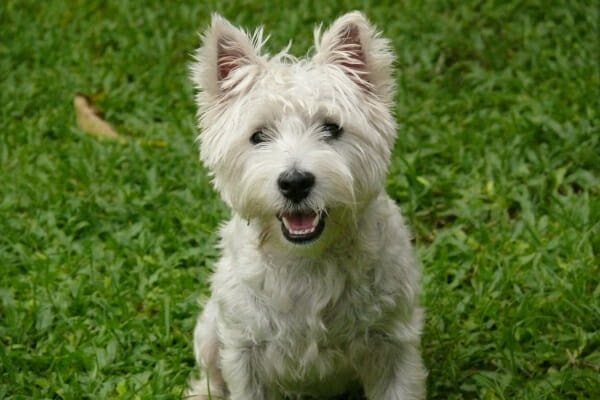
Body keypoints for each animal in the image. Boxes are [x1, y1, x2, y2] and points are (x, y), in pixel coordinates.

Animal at [188, 10, 426, 398]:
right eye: (258, 136)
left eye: (331, 128)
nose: (295, 182)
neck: (307, 261)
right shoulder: (244, 349)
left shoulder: (393, 343)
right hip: (211, 328)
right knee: (210, 374)